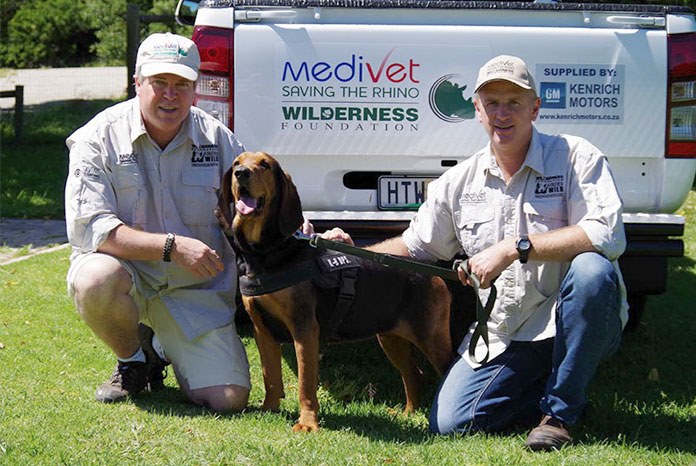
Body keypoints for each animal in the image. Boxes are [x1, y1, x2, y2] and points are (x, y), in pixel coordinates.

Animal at [219, 153, 456, 434]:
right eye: (236, 163)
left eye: (265, 165)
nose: (241, 174)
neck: (267, 251)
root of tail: (432, 272)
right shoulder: (262, 330)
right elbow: (271, 377)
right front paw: (269, 409)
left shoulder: (304, 328)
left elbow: (305, 384)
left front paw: (307, 423)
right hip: (391, 338)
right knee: (413, 373)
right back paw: (408, 413)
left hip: (430, 336)